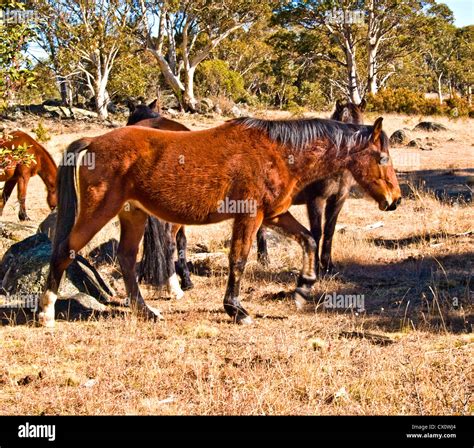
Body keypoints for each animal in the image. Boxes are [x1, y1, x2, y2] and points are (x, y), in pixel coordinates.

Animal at [258, 98, 364, 272]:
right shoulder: (316, 199)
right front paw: (315, 266)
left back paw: (263, 260)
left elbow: (329, 230)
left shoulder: (338, 199)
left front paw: (328, 265)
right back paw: (264, 259)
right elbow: (316, 232)